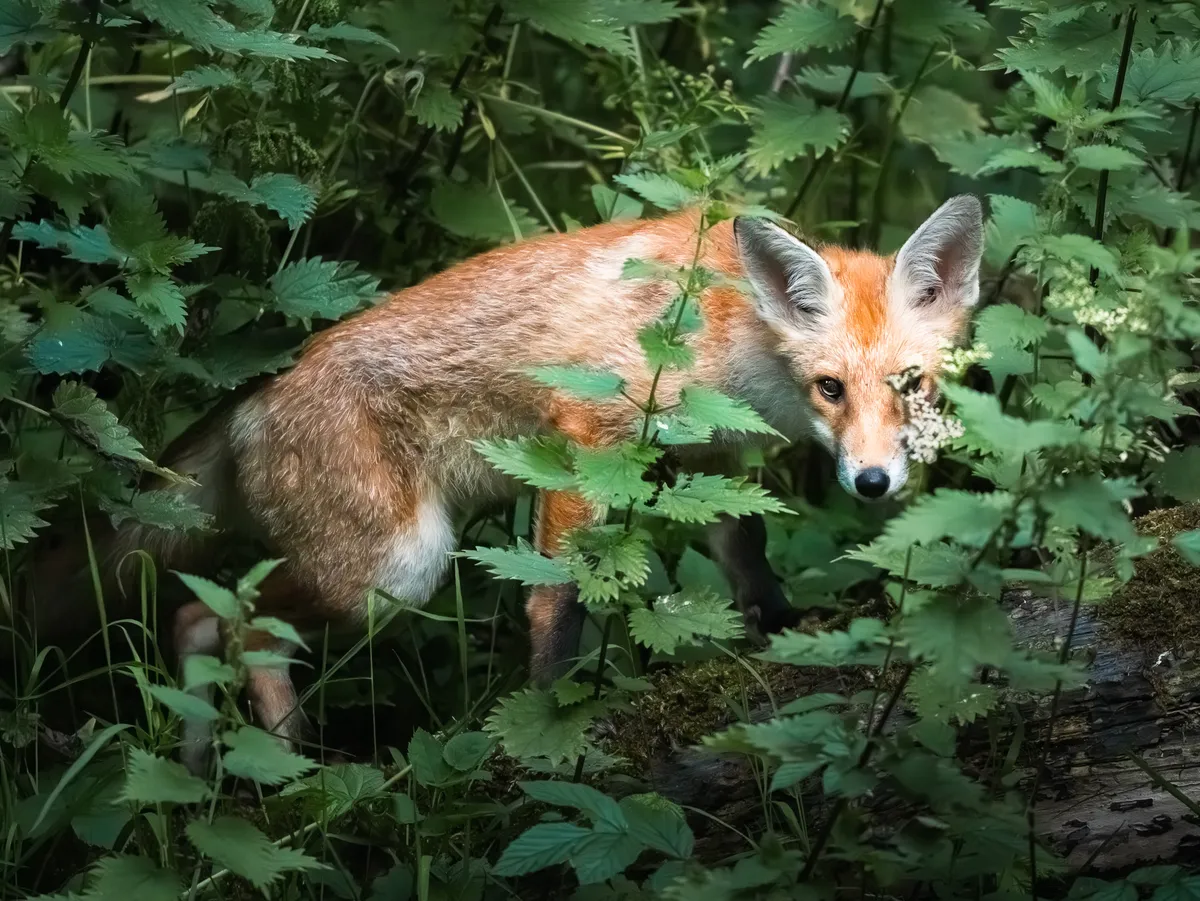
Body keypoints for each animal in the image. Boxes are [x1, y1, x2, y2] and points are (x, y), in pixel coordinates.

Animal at [28, 194, 983, 773]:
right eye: (830, 387)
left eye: (910, 384)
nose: (872, 481)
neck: (725, 325)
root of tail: (249, 397)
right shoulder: (588, 437)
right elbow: (558, 600)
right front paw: (551, 715)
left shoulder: (712, 461)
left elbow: (746, 554)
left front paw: (786, 631)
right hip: (396, 568)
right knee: (232, 620)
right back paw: (296, 764)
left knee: (196, 619)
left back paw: (211, 774)